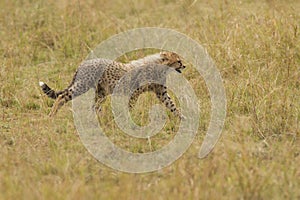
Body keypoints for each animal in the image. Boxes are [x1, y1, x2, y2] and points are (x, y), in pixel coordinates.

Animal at [39, 51, 185, 117]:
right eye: (178, 61)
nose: (184, 66)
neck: (160, 67)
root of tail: (83, 63)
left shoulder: (161, 93)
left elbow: (171, 105)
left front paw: (182, 118)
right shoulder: (134, 92)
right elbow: (131, 106)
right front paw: (130, 119)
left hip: (101, 92)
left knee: (95, 106)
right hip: (83, 85)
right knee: (61, 97)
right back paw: (52, 116)